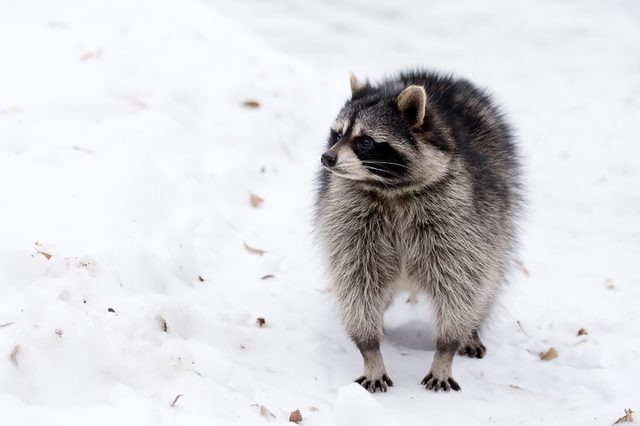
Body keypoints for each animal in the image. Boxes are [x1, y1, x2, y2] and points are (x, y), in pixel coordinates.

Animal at [314, 70, 522, 392]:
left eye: (365, 142)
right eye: (337, 135)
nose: (327, 158)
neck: (390, 191)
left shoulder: (462, 222)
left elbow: (462, 284)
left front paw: (446, 350)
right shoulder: (349, 221)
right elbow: (357, 282)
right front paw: (370, 350)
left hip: (500, 216)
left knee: (489, 281)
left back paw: (473, 328)